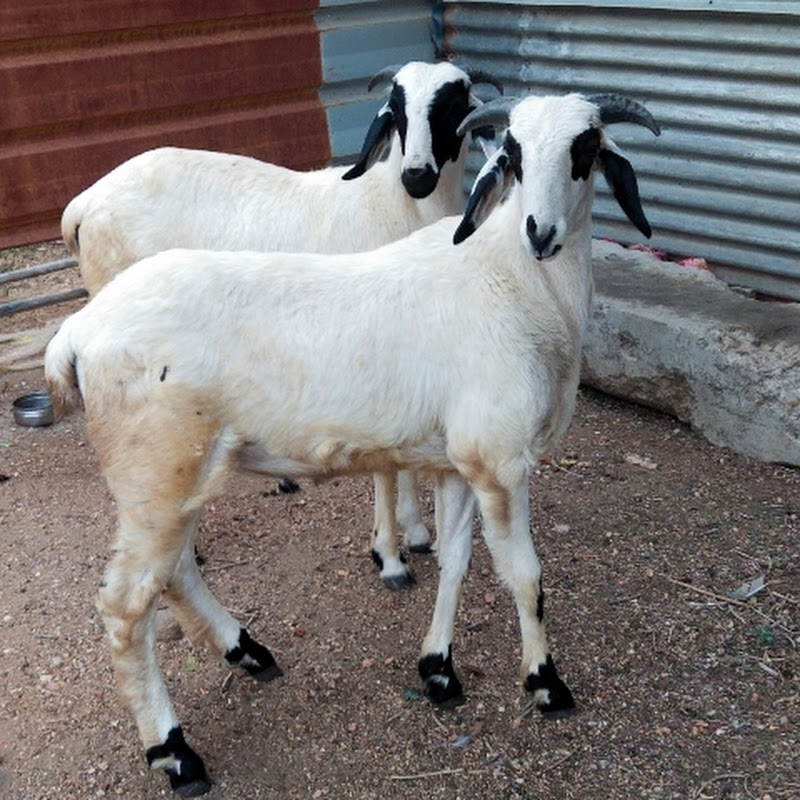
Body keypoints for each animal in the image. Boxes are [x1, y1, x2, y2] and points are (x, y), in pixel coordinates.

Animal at [60, 59, 502, 590]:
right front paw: (389, 556)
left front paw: (414, 532)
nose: (416, 174)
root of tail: (84, 203)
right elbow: (385, 469)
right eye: (396, 110)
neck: (390, 204)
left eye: (453, 105)